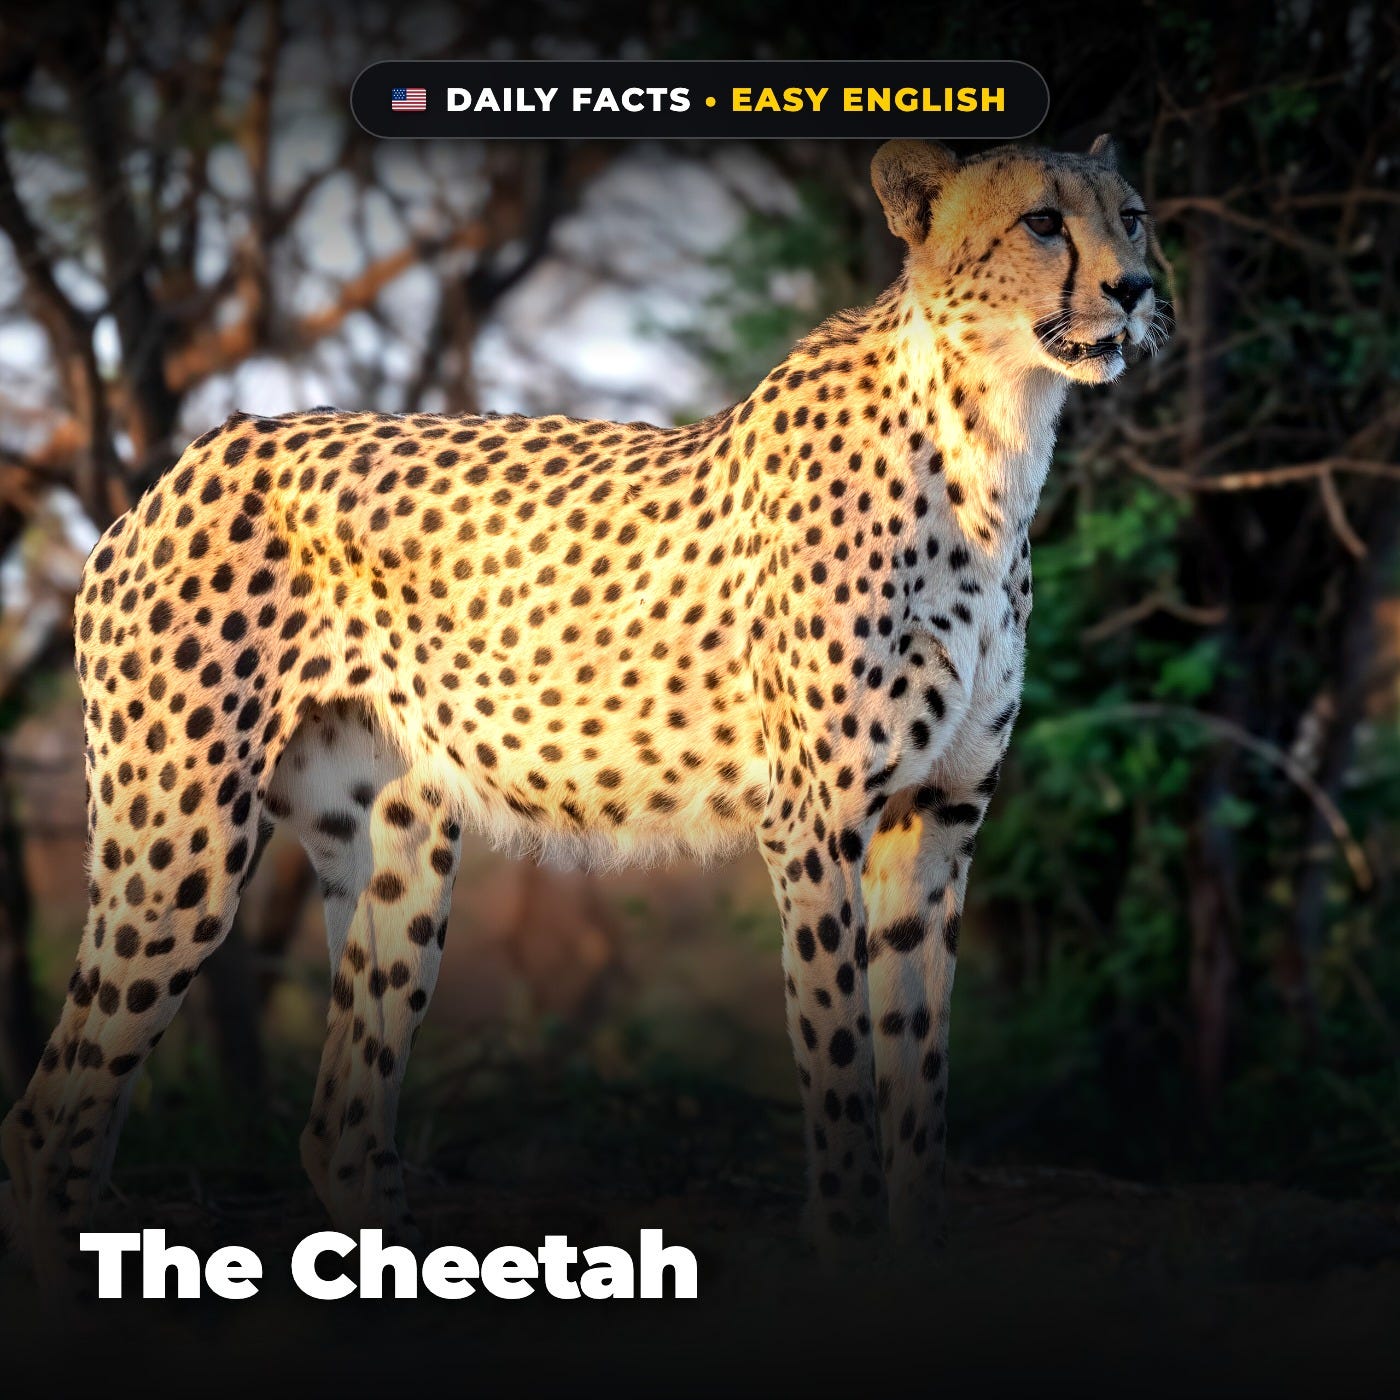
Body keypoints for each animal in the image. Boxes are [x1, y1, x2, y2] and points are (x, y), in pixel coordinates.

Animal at [0, 135, 1164, 1288]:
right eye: (1042, 221)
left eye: (1134, 215)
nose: (1137, 288)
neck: (992, 437)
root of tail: (188, 460)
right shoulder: (816, 826)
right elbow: (840, 1077)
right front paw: (846, 1249)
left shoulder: (937, 824)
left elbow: (919, 1078)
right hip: (180, 845)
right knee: (52, 1116)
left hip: (398, 848)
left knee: (338, 1125)